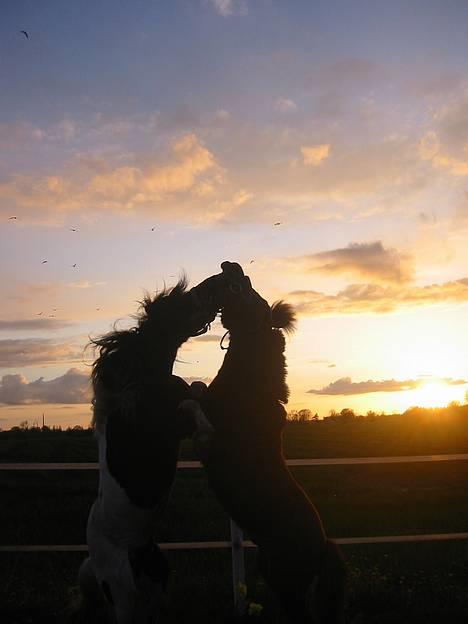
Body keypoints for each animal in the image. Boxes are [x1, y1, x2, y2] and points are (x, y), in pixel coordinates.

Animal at [78, 276, 225, 624]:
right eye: (179, 301)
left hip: (159, 576)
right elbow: (192, 406)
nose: (216, 282)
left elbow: (196, 391)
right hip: (123, 595)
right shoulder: (169, 425)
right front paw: (207, 438)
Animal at [199, 262, 346, 624]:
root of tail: (321, 546)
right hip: (274, 574)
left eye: (247, 291)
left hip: (286, 580)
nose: (230, 265)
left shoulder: (211, 427)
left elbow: (192, 399)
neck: (250, 386)